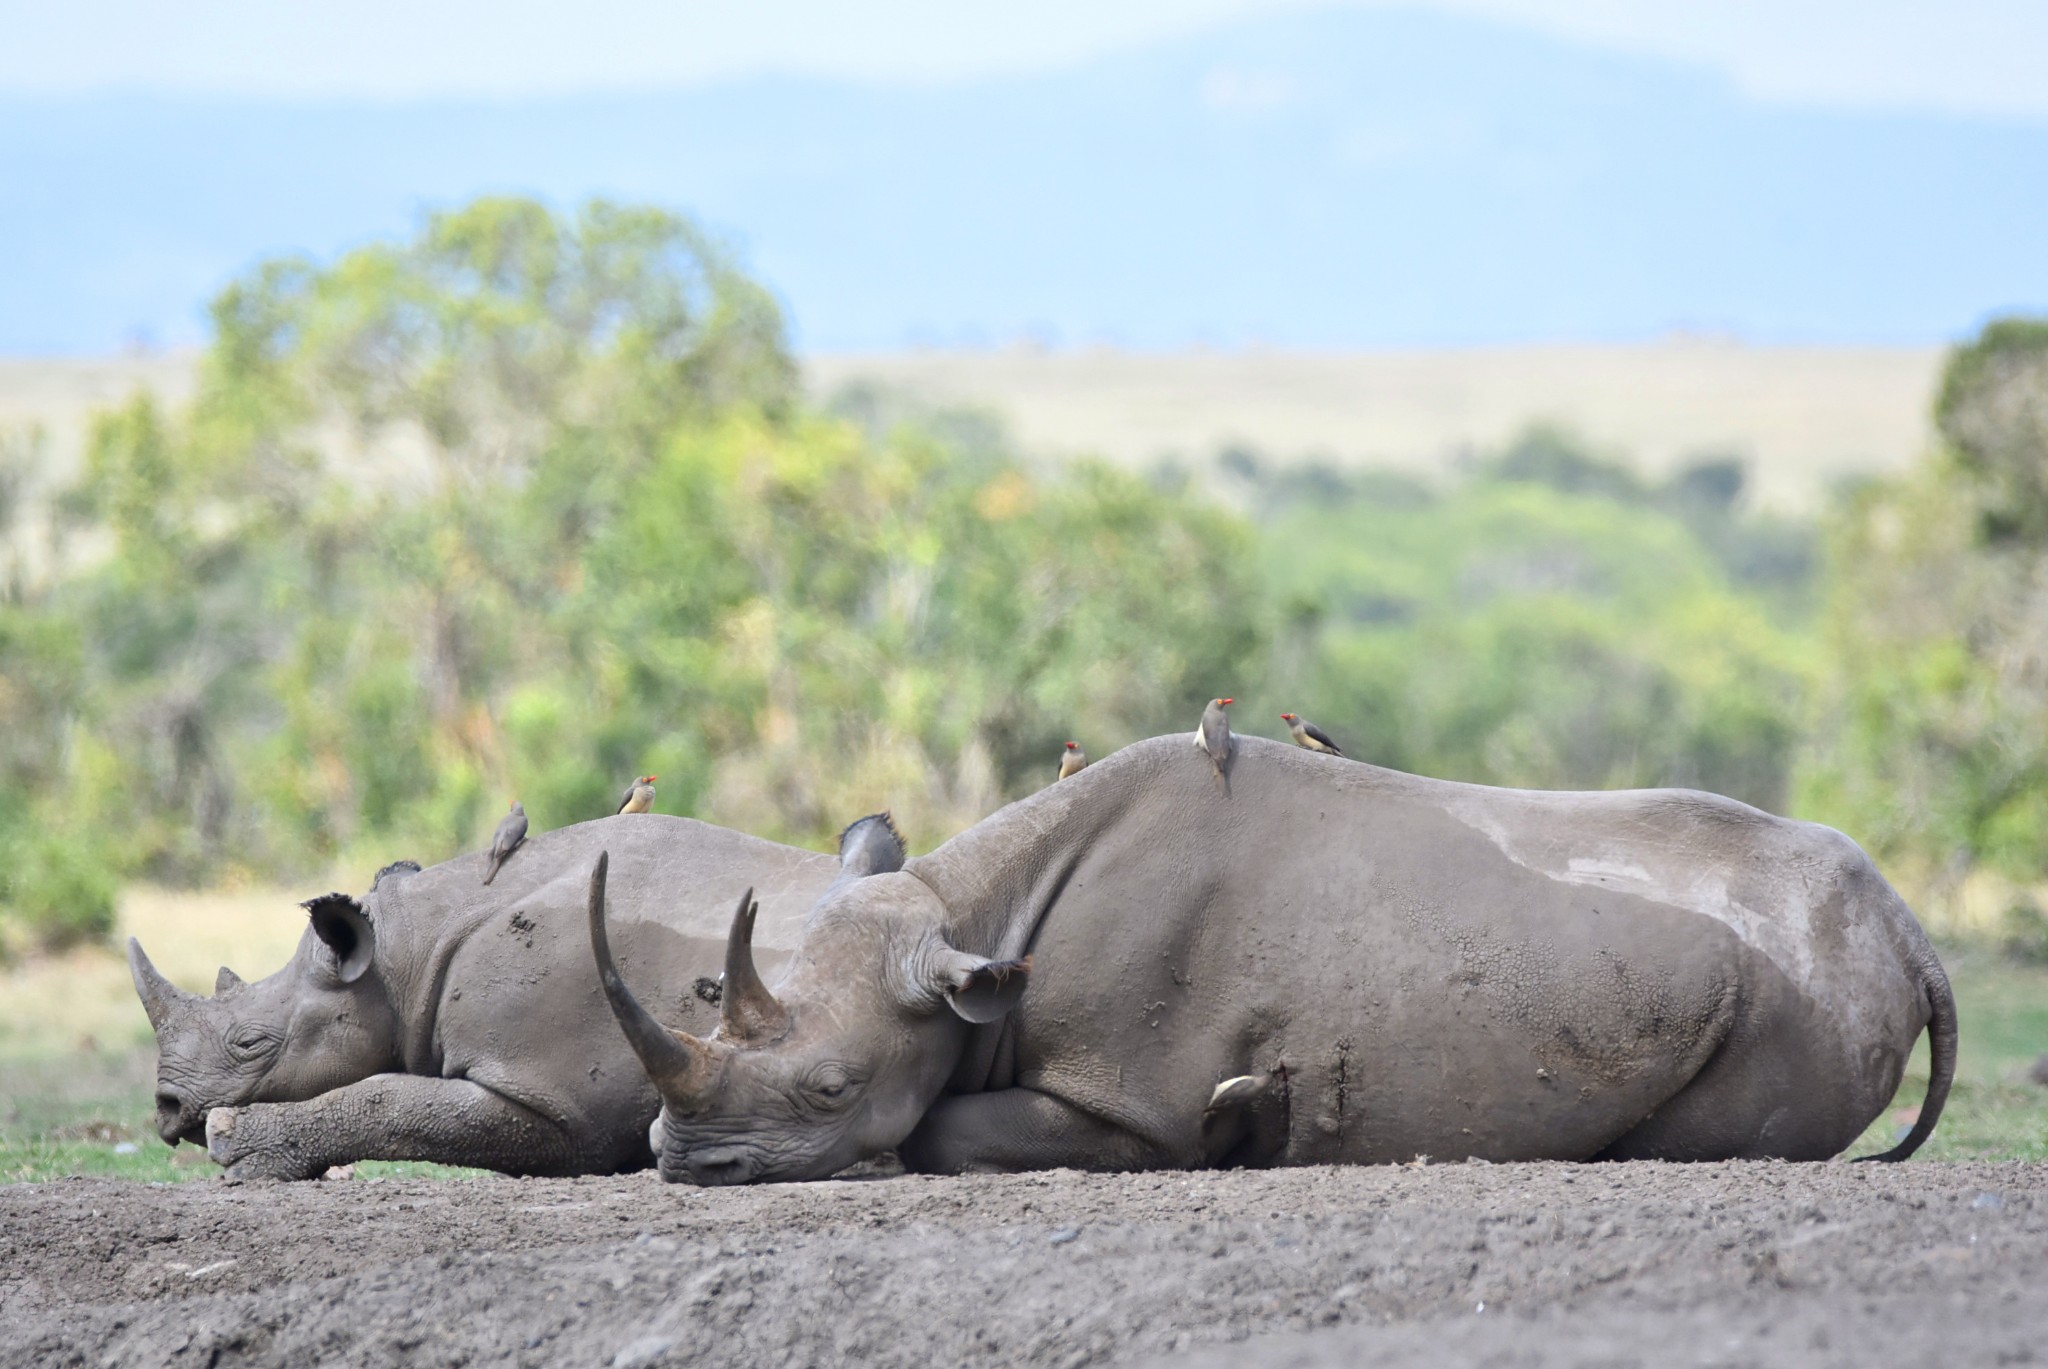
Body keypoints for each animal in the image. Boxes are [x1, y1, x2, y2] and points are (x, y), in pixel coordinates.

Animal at [125, 811, 897, 1180]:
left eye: (250, 1043)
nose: (166, 1107)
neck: (404, 958)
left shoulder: (554, 1102)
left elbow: (395, 1104)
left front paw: (236, 1145)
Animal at [589, 733, 1949, 1180]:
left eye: (831, 1090)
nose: (686, 1159)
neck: (972, 926)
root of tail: (1908, 930)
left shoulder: (1123, 1099)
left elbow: (937, 1130)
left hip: (1798, 993)